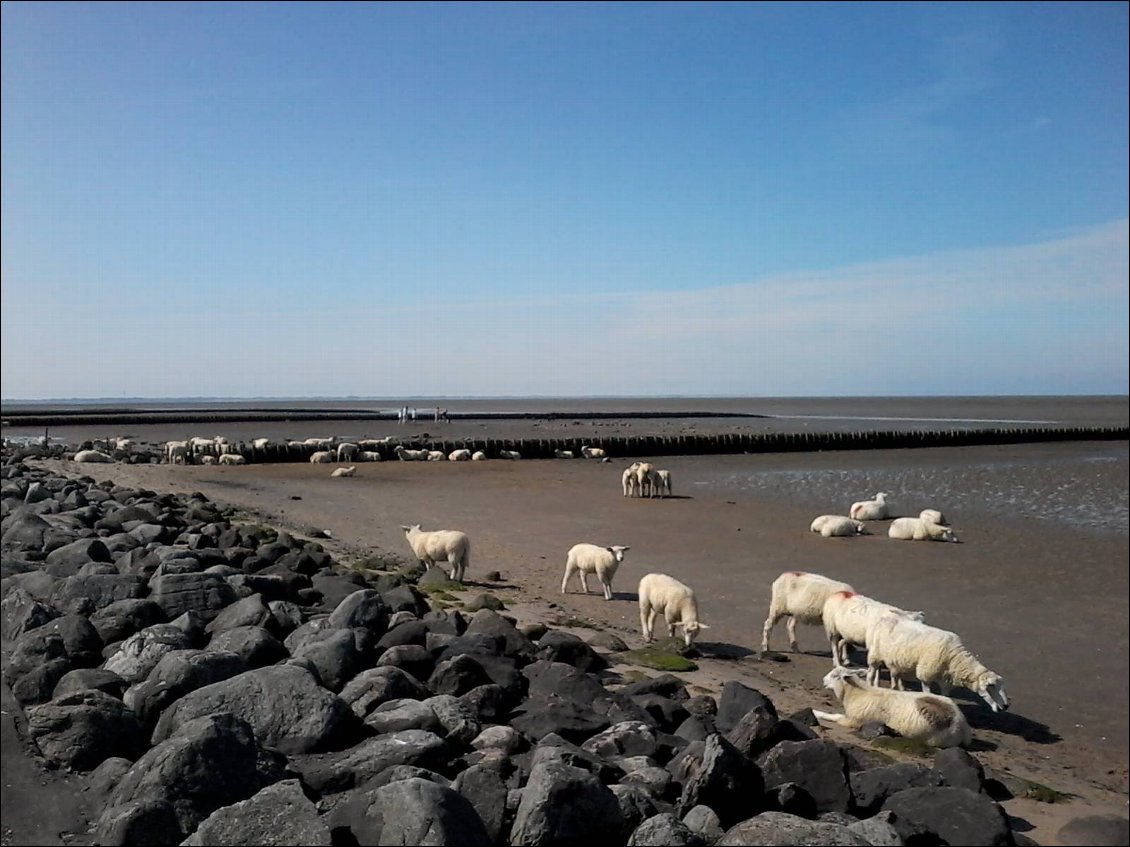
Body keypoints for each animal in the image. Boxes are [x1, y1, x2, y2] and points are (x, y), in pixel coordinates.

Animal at [813, 668, 971, 749]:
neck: (858, 693)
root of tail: (961, 722)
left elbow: (835, 716)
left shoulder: (853, 720)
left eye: (835, 675)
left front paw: (816, 712)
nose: (823, 680)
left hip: (935, 739)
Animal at [858, 614, 1012, 713]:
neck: (953, 658)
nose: (1005, 706)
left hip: (895, 662)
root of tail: (884, 618)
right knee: (871, 674)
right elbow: (928, 693)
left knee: (894, 678)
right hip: (875, 656)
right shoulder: (926, 675)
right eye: (990, 686)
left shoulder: (945, 681)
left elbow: (946, 697)